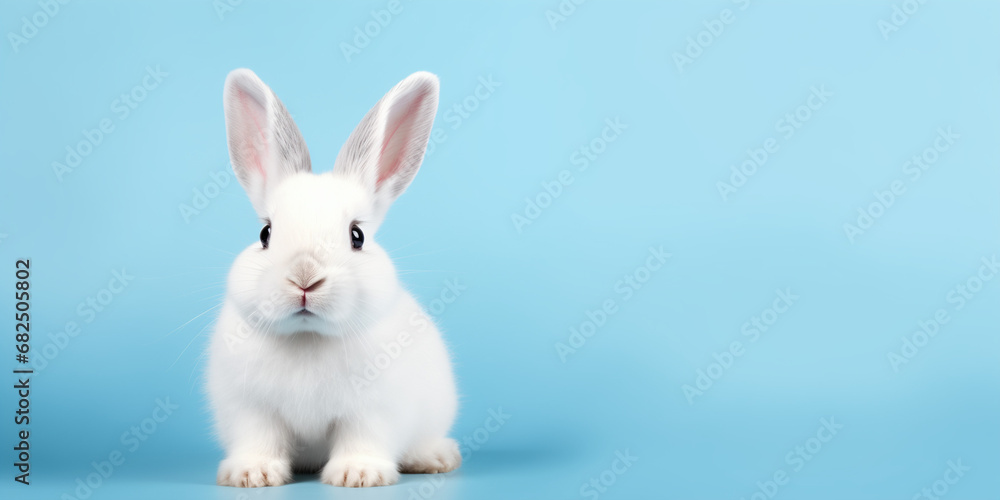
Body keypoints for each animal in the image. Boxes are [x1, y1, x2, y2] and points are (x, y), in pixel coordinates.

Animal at [206, 69, 460, 488]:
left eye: (357, 236)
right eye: (265, 233)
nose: (305, 278)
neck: (308, 337)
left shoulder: (373, 410)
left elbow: (363, 438)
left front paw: (358, 475)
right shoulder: (250, 409)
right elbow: (259, 439)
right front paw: (253, 475)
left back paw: (435, 458)